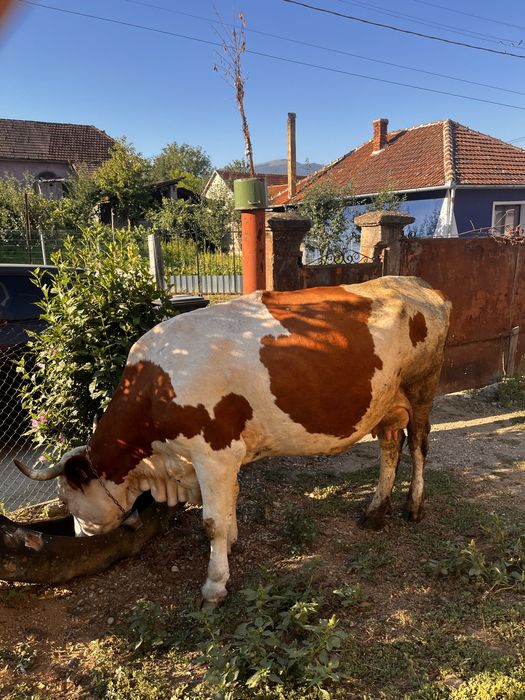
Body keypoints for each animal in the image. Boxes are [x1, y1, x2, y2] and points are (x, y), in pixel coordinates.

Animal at [15, 276, 451, 604]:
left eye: (64, 499)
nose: (76, 536)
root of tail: (418, 284)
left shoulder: (213, 454)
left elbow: (211, 523)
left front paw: (214, 585)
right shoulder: (220, 457)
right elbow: (230, 502)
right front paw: (233, 543)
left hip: (421, 390)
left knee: (418, 445)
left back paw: (414, 507)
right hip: (386, 405)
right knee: (390, 447)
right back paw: (375, 512)